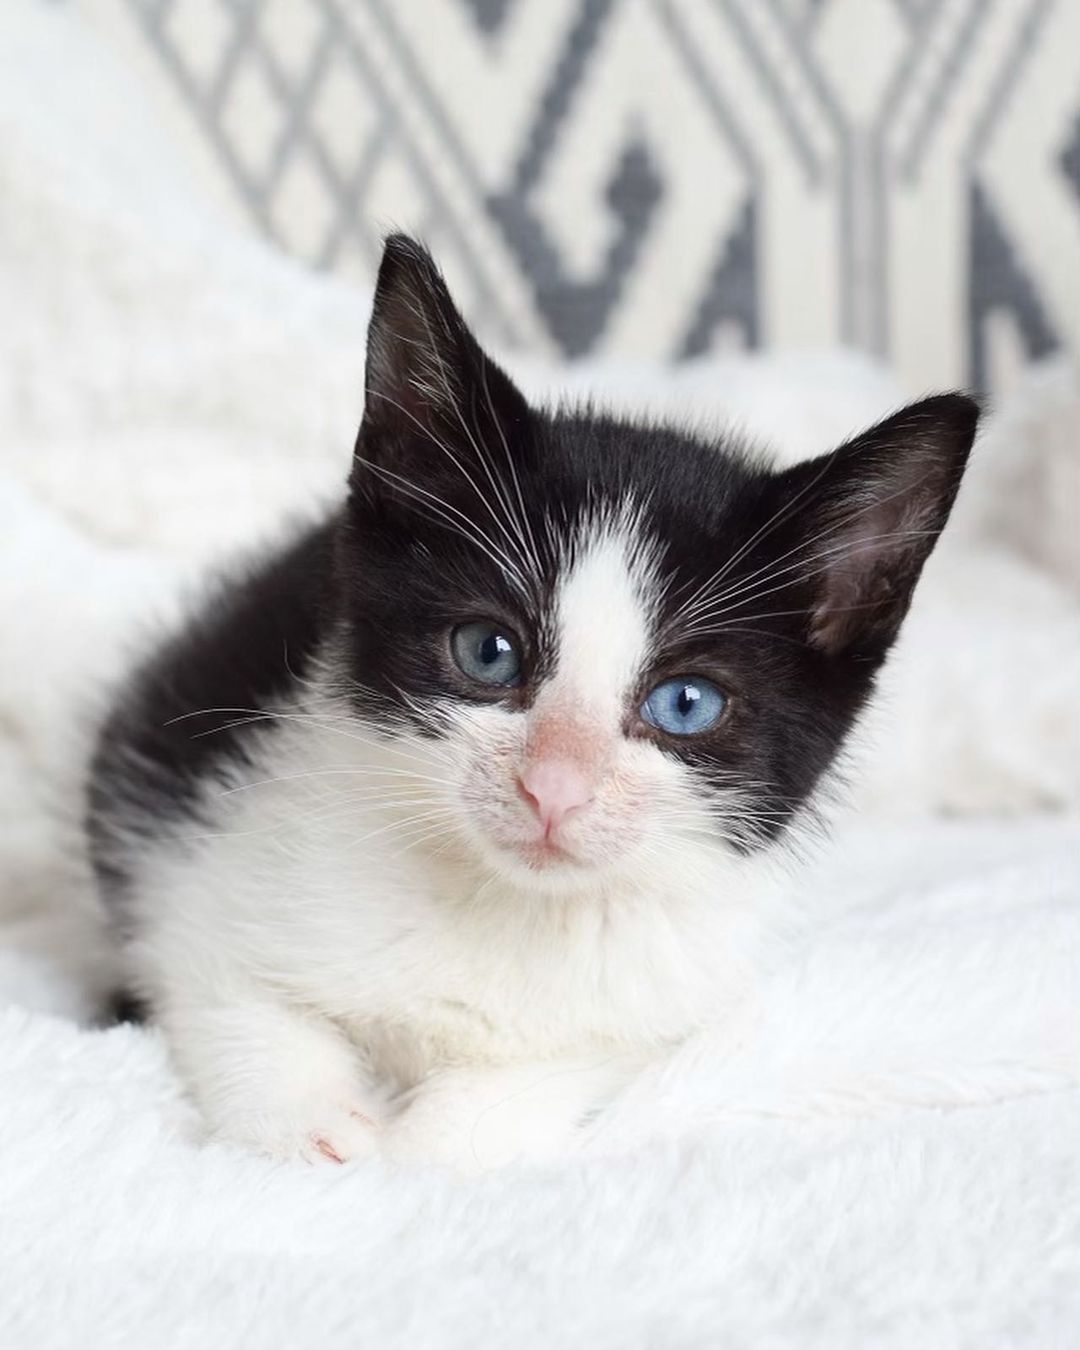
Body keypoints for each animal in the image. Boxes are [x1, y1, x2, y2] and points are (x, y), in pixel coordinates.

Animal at [84, 234, 977, 1171]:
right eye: (489, 652)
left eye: (686, 703)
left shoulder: (659, 1001)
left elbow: (525, 1091)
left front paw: (427, 1144)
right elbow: (225, 988)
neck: (509, 906)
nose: (554, 786)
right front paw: (311, 1126)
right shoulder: (187, 848)